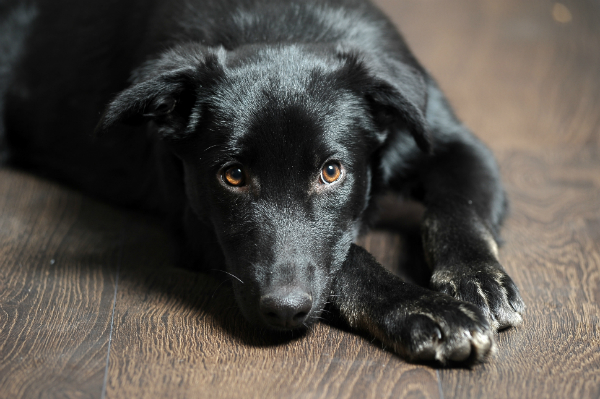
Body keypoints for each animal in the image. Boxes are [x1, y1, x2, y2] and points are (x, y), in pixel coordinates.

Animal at [0, 0, 524, 366]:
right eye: (232, 175)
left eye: (331, 171)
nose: (284, 311)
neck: (282, 26)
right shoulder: (198, 225)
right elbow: (349, 259)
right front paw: (423, 308)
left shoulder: (456, 144)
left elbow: (456, 210)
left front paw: (475, 279)